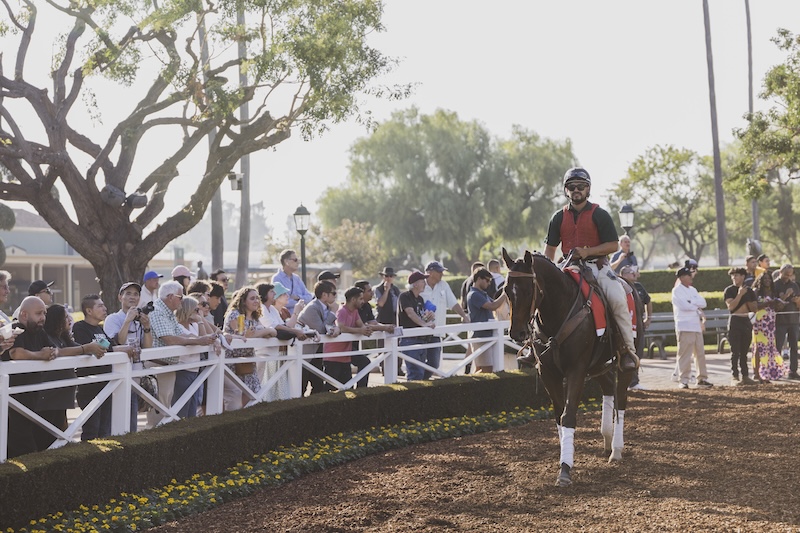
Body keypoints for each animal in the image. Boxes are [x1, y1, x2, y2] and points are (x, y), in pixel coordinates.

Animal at [502, 248, 641, 487]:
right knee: (607, 388)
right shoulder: (548, 372)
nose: (517, 332)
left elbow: (568, 416)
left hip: (623, 361)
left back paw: (616, 449)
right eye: (506, 290)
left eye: (529, 289)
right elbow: (559, 415)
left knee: (621, 398)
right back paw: (606, 438)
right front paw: (564, 459)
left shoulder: (576, 369)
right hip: (597, 365)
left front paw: (565, 469)